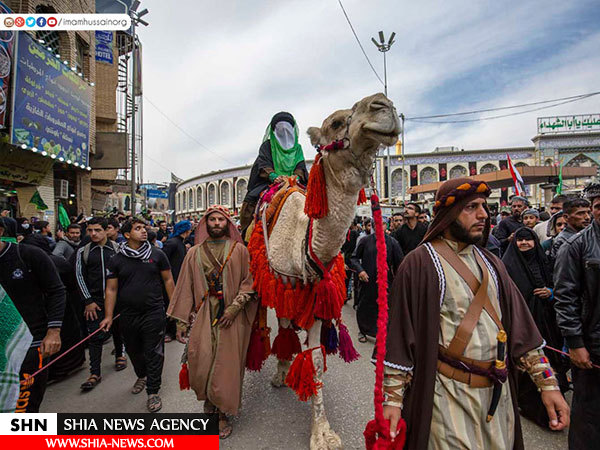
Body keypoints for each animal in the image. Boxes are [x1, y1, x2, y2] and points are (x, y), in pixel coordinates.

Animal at [246, 93, 400, 448]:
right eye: (335, 122)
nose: (383, 105)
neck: (304, 244)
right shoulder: (283, 287)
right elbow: (285, 330)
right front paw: (282, 373)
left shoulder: (318, 300)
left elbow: (316, 358)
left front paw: (322, 431)